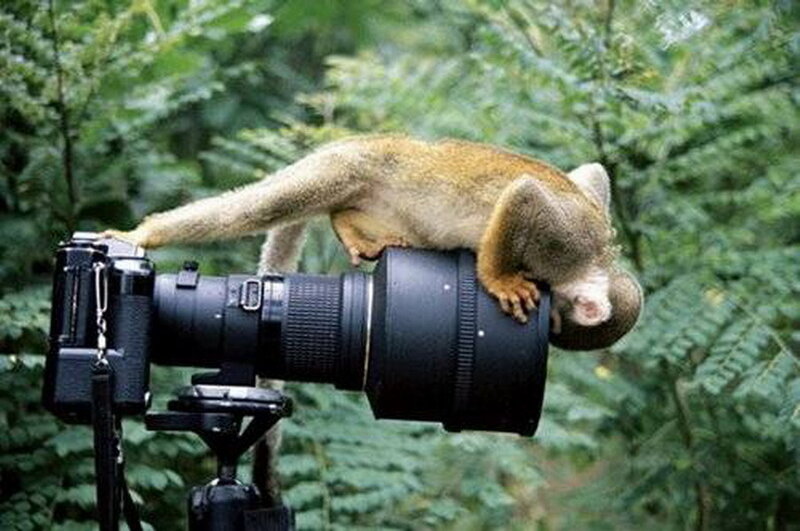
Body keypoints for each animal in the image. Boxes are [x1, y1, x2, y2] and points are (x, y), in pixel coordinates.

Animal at [106, 135, 642, 342]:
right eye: (557, 323)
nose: (551, 326)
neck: (596, 258)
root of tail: (361, 139)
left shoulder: (591, 210)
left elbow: (592, 173)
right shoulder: (566, 239)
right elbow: (526, 195)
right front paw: (499, 278)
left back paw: (348, 224)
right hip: (342, 168)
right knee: (259, 207)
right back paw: (147, 232)